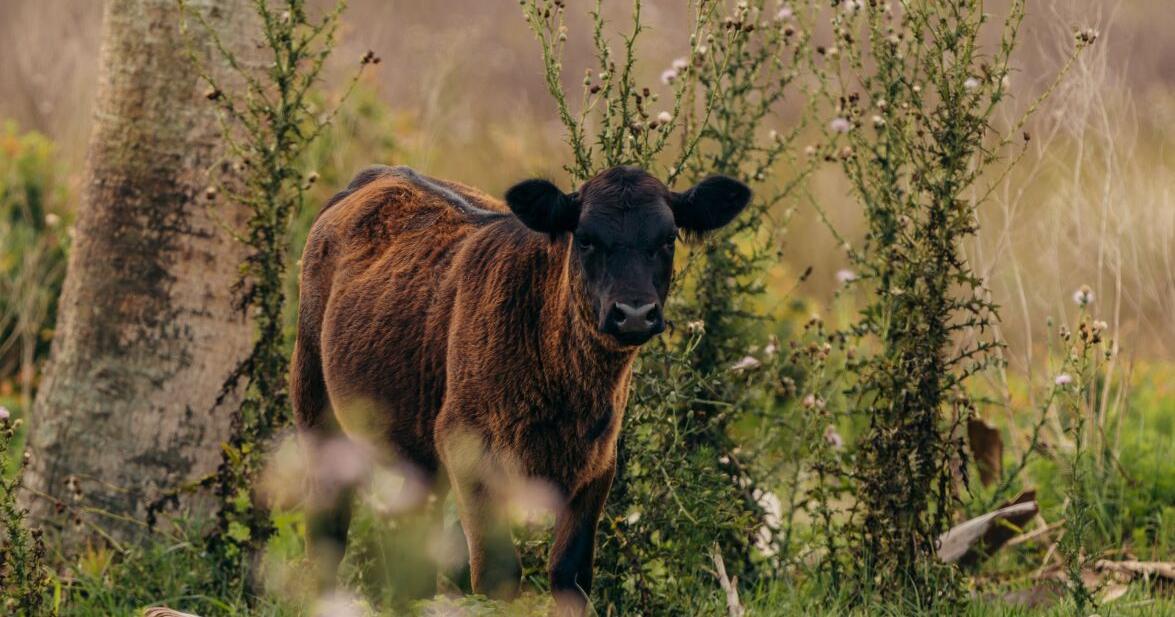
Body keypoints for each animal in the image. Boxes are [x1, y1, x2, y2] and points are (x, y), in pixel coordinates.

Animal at [292, 164, 750, 614]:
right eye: (585, 238)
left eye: (668, 238)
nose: (634, 313)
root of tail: (377, 174)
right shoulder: (470, 453)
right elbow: (497, 575)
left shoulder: (598, 465)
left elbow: (570, 574)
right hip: (316, 408)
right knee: (328, 529)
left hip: (421, 454)